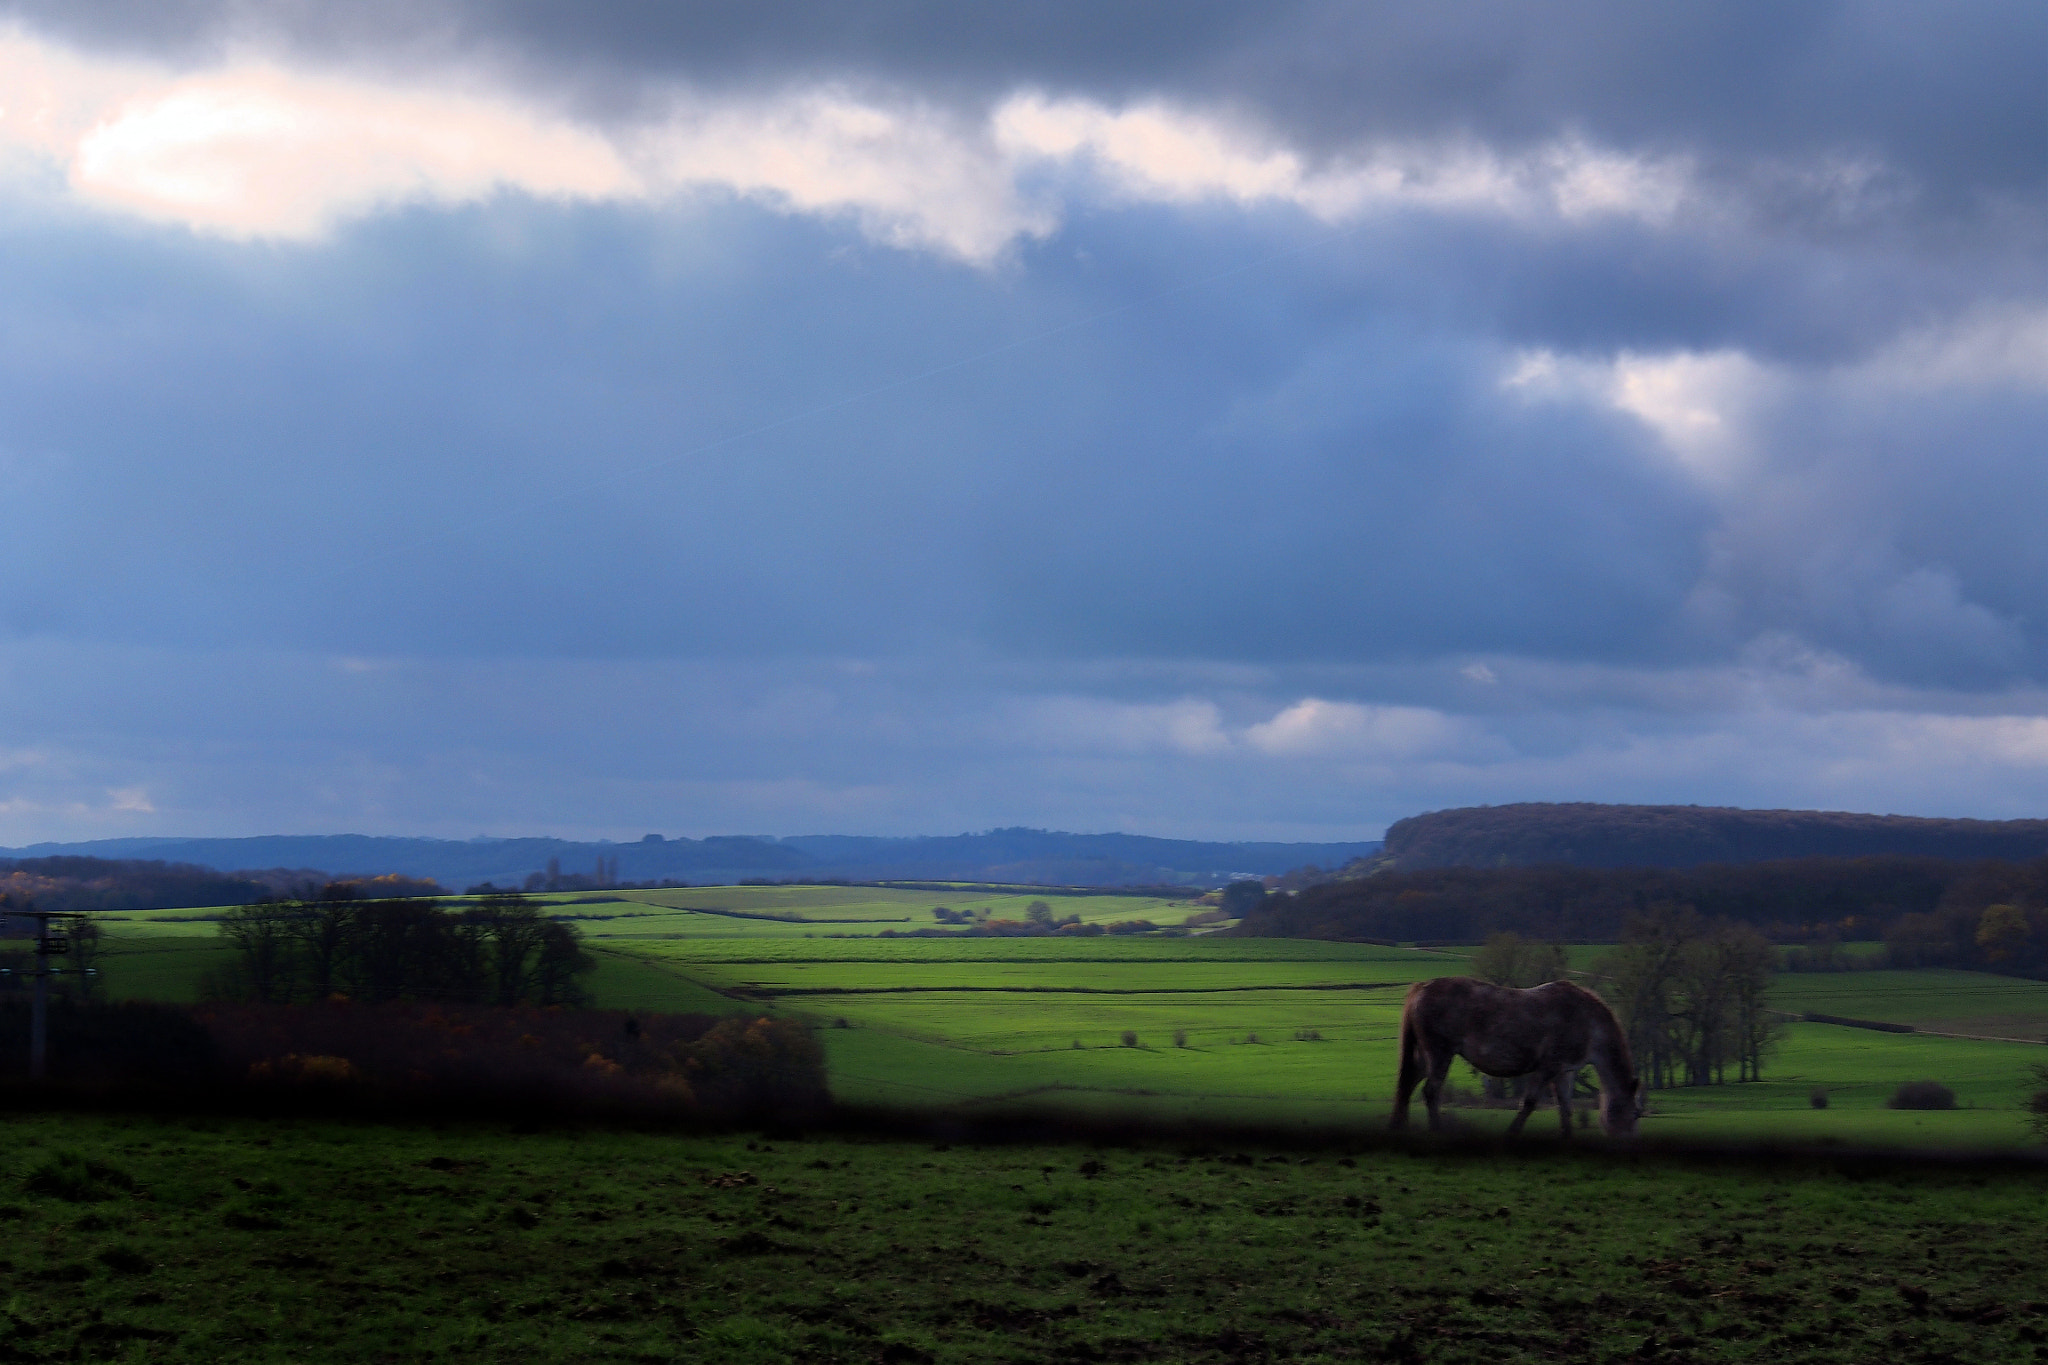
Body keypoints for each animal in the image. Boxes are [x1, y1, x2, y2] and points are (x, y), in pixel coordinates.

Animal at [1384, 978, 1638, 1137]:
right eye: (1634, 1115)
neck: (1586, 1020)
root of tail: (1422, 988)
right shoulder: (1547, 1067)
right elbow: (1530, 1102)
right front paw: (1512, 1133)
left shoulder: (1565, 1071)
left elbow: (1566, 1108)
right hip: (1439, 1054)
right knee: (1430, 1092)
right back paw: (1436, 1130)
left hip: (1423, 1057)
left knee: (1406, 1087)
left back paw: (1398, 1127)